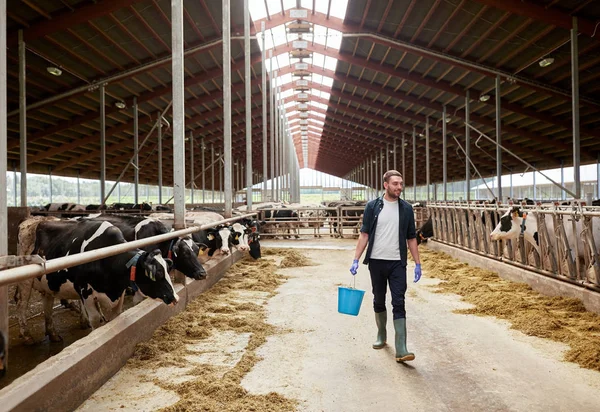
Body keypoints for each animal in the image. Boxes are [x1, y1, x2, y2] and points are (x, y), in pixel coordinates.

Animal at [15, 219, 177, 344]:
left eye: (166, 270)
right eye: (157, 273)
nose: (175, 297)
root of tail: (32, 221)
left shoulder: (119, 293)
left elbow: (114, 317)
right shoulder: (84, 291)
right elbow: (95, 319)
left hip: (47, 284)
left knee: (47, 304)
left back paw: (53, 334)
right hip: (25, 280)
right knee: (21, 303)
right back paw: (27, 336)